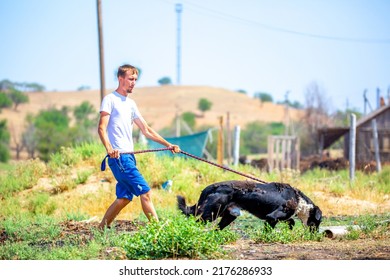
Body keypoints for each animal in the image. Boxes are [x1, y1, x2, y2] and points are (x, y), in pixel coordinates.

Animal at [177, 180, 322, 231]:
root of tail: (212, 186)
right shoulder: (272, 217)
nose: (315, 235)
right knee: (195, 221)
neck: (300, 201)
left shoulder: (277, 217)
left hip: (230, 215)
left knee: (217, 228)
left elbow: (291, 221)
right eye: (318, 222)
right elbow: (269, 230)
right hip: (211, 213)